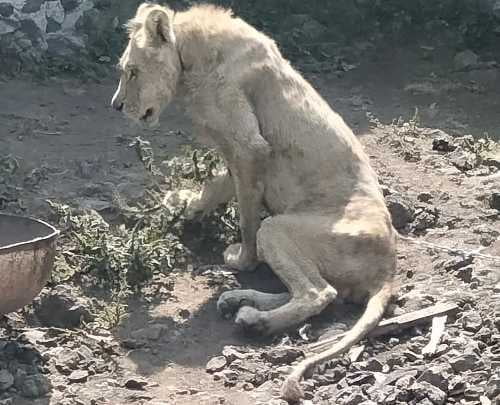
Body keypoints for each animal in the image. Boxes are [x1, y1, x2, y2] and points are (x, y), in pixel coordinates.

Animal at [111, 2, 396, 400]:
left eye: (133, 72)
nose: (116, 106)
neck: (191, 57)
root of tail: (389, 266)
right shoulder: (236, 151)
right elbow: (216, 185)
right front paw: (185, 206)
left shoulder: (248, 146)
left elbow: (246, 218)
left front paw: (241, 259)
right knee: (321, 290)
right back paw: (239, 302)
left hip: (277, 228)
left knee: (317, 292)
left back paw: (255, 321)